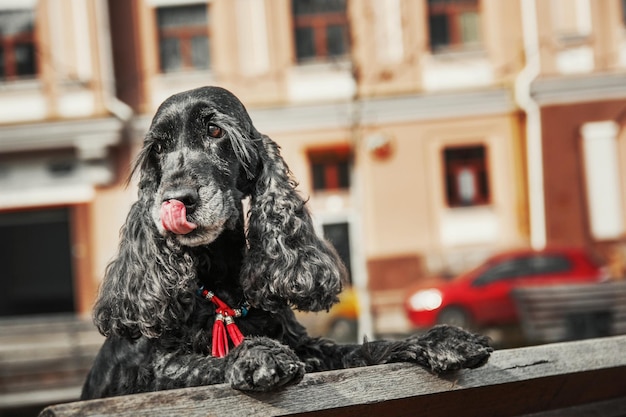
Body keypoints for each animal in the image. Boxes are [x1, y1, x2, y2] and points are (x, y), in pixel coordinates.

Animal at [80, 86, 490, 398]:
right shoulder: (150, 369)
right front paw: (256, 355)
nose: (175, 200)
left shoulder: (310, 346)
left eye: (215, 131)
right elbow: (198, 363)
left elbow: (363, 348)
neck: (220, 285)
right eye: (159, 148)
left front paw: (442, 339)